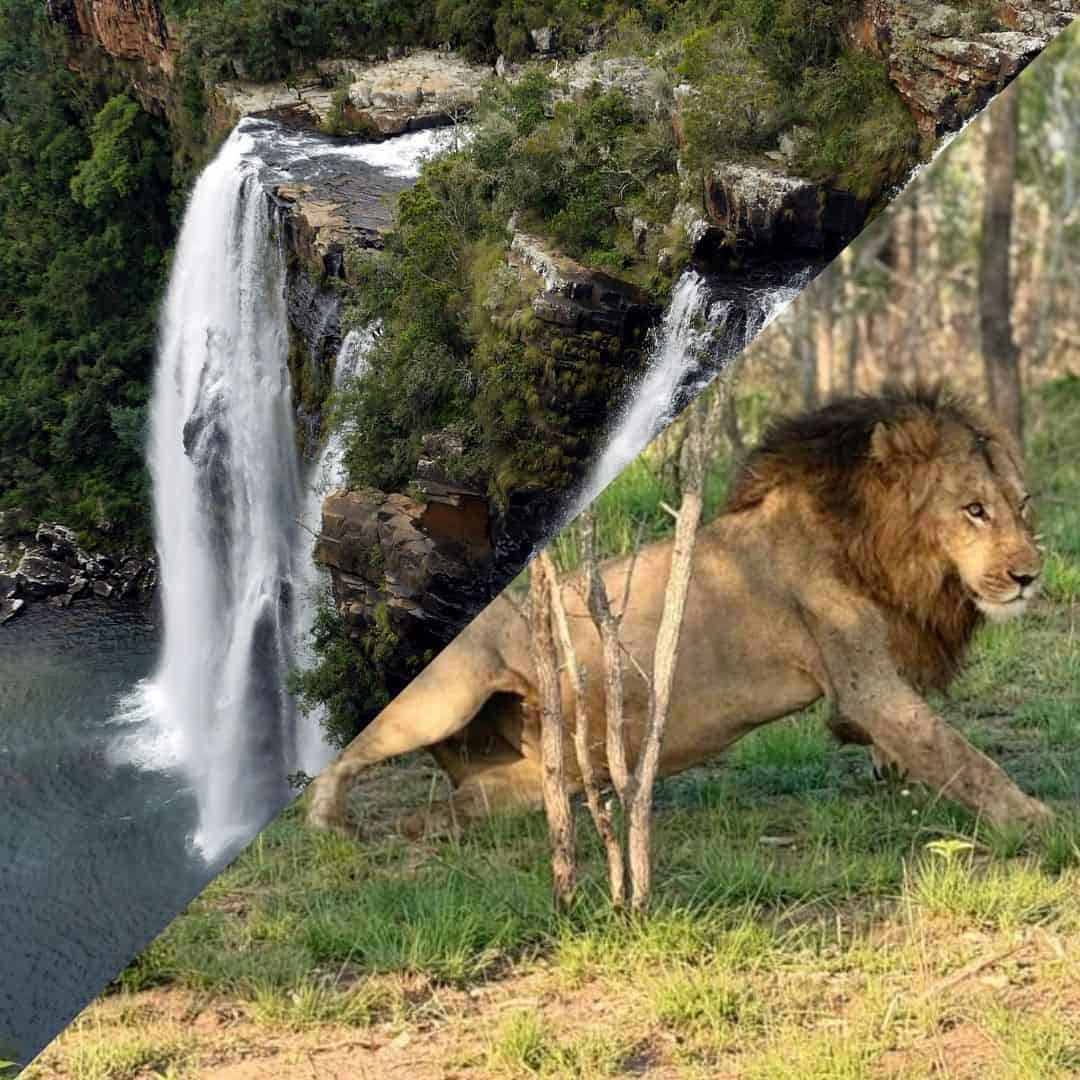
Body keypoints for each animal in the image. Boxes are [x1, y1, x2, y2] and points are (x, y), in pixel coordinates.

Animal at [307, 385, 1052, 837]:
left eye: (1021, 506)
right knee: (347, 754)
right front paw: (1038, 823)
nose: (1028, 576)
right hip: (445, 697)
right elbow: (959, 756)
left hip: (532, 779)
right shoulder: (864, 678)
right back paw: (328, 822)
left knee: (466, 804)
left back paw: (430, 827)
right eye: (973, 509)